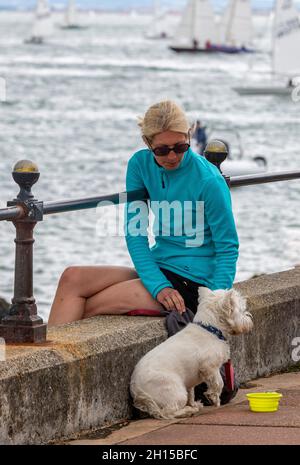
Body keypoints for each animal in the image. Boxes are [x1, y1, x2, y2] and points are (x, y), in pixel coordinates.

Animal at [130, 284, 252, 418]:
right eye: (242, 310)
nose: (250, 320)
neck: (210, 329)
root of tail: (136, 388)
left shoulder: (191, 381)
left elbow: (191, 393)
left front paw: (194, 403)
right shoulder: (210, 367)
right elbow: (219, 382)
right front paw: (214, 398)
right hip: (173, 389)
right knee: (168, 411)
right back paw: (187, 411)